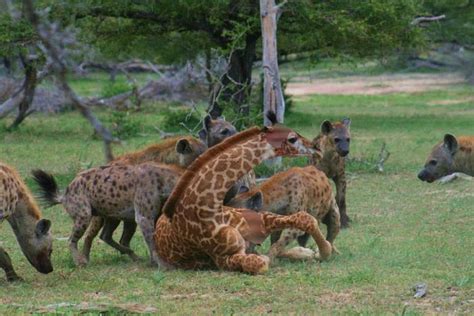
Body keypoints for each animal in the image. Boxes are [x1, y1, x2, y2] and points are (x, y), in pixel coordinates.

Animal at [155, 121, 334, 274]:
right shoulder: (222, 259)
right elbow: (261, 261)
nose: (316, 147)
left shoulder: (260, 218)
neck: (206, 208)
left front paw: (324, 251)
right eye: (292, 138)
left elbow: (305, 218)